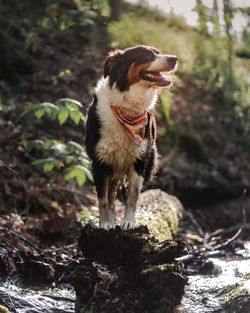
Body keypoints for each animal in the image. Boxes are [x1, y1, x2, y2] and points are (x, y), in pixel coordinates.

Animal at [86, 44, 178, 229]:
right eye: (146, 56)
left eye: (158, 52)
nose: (175, 59)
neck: (127, 110)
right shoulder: (99, 161)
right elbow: (103, 199)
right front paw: (104, 224)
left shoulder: (140, 159)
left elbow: (132, 196)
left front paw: (128, 222)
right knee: (110, 195)